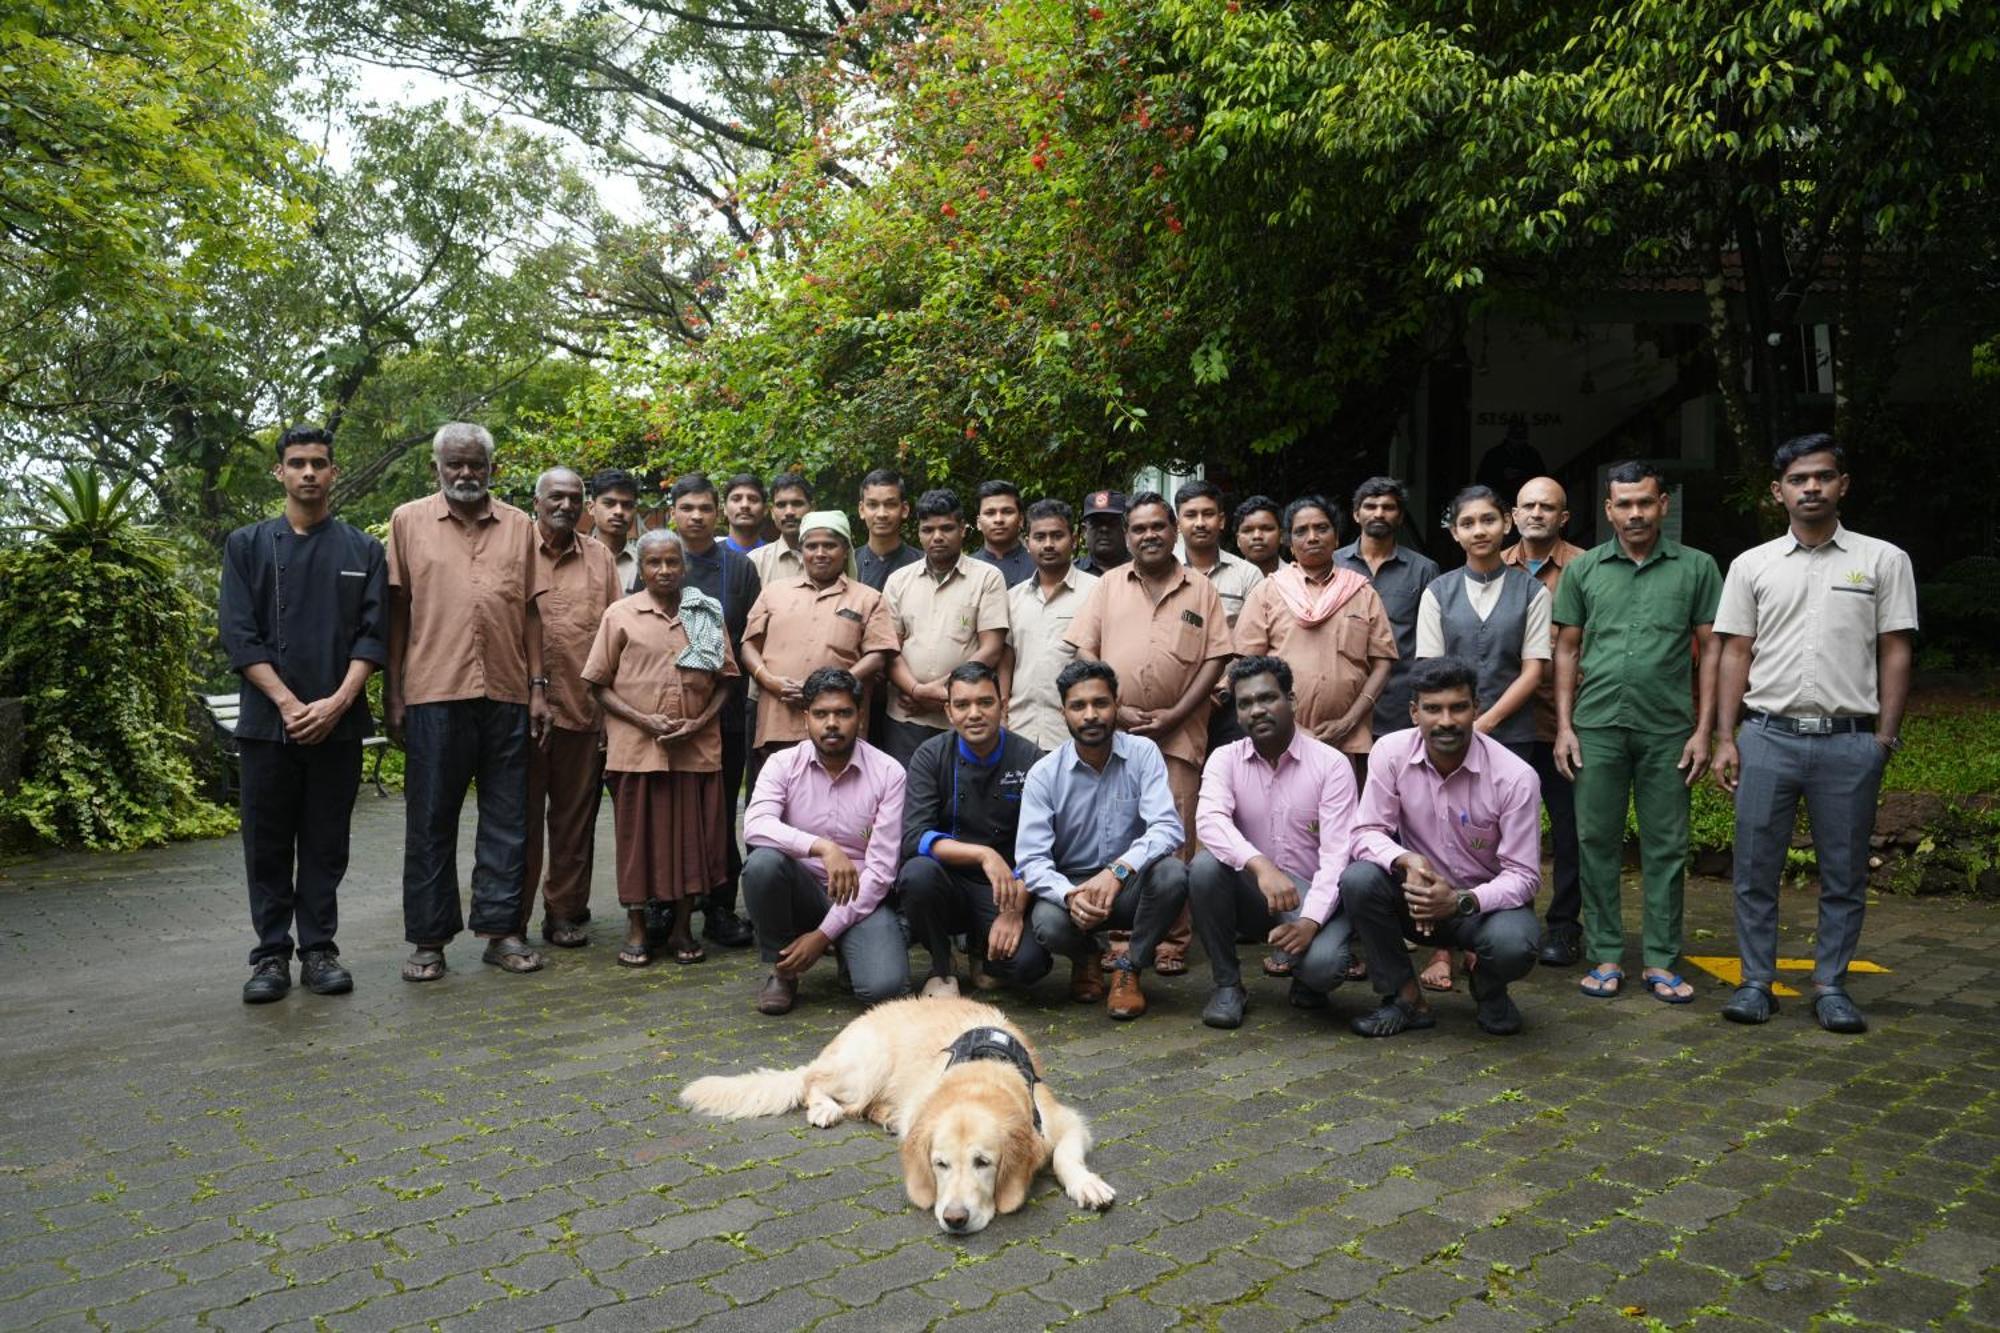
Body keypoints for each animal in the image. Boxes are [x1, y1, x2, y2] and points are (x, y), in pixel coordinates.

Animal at [680, 992, 1120, 1232]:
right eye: (940, 1165)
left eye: (984, 1163)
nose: (954, 1218)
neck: (983, 1071)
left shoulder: (1063, 1120)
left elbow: (1064, 1156)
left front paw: (1087, 1185)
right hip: (865, 1065)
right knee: (814, 1085)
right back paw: (824, 1109)